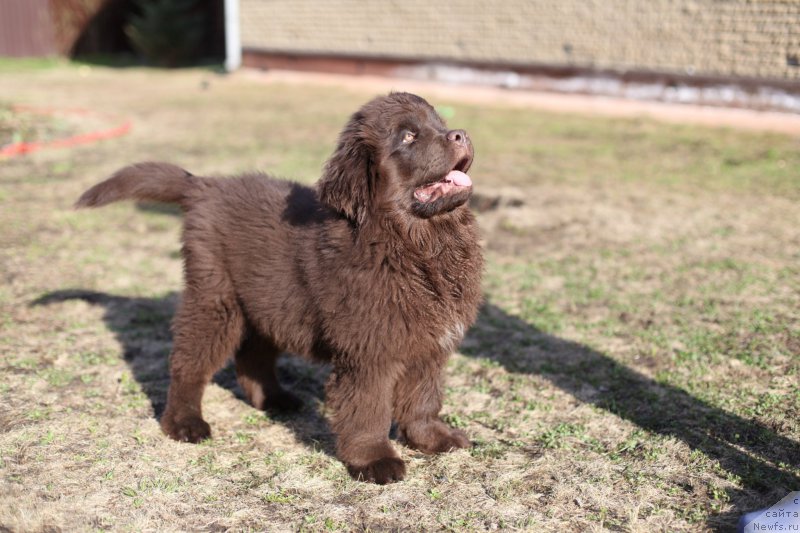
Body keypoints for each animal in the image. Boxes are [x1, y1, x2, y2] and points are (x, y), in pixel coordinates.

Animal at [76, 93, 482, 484]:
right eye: (408, 136)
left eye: (439, 123)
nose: (461, 134)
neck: (417, 244)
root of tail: (205, 185)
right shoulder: (369, 350)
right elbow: (368, 408)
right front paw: (374, 460)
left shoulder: (429, 343)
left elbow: (423, 398)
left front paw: (433, 439)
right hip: (215, 297)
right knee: (189, 361)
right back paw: (184, 423)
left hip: (269, 299)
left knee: (253, 355)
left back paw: (274, 399)